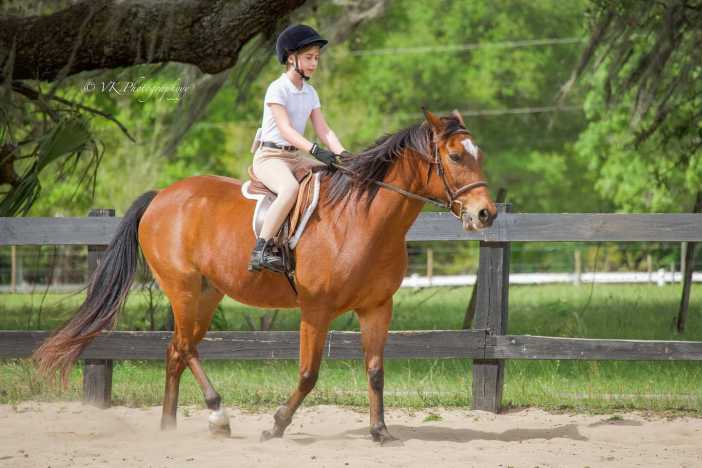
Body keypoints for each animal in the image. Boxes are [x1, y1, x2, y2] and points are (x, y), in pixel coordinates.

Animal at [34, 109, 496, 443]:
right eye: (455, 156)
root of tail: (162, 196)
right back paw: (217, 415)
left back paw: (172, 426)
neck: (362, 220)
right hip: (183, 290)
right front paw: (276, 425)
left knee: (176, 351)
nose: (485, 214)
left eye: (479, 155)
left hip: (208, 294)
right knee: (184, 347)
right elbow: (309, 374)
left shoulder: (377, 308)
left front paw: (380, 432)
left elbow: (376, 370)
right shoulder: (316, 310)